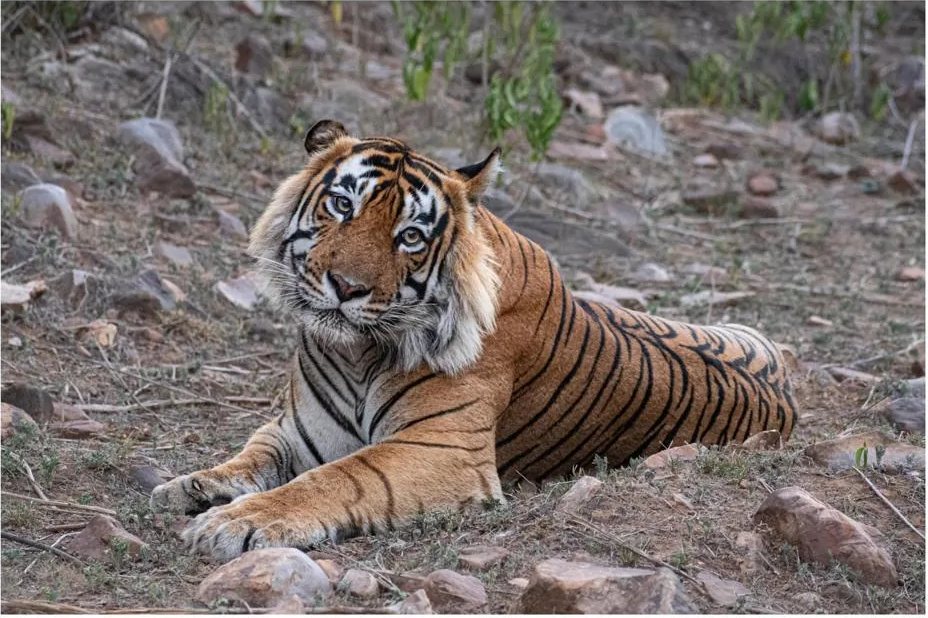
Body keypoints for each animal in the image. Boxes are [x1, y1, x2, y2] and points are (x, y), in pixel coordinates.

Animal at [150, 120, 797, 562]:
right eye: (342, 204)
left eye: (410, 236)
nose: (347, 287)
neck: (356, 351)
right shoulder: (296, 430)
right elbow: (253, 455)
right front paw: (191, 486)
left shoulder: (442, 450)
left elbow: (338, 478)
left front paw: (236, 522)